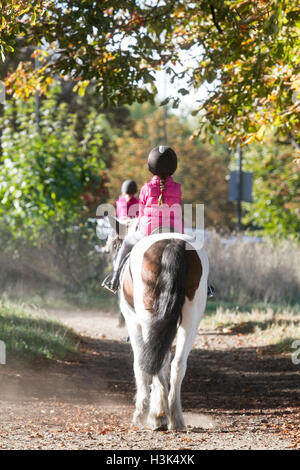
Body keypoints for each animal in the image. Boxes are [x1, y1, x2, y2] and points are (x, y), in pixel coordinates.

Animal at [108, 222, 209, 432]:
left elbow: (140, 364)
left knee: (152, 359)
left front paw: (142, 413)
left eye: (115, 245)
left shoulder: (133, 322)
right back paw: (175, 417)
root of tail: (173, 243)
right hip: (191, 318)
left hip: (148, 317)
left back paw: (158, 417)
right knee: (177, 363)